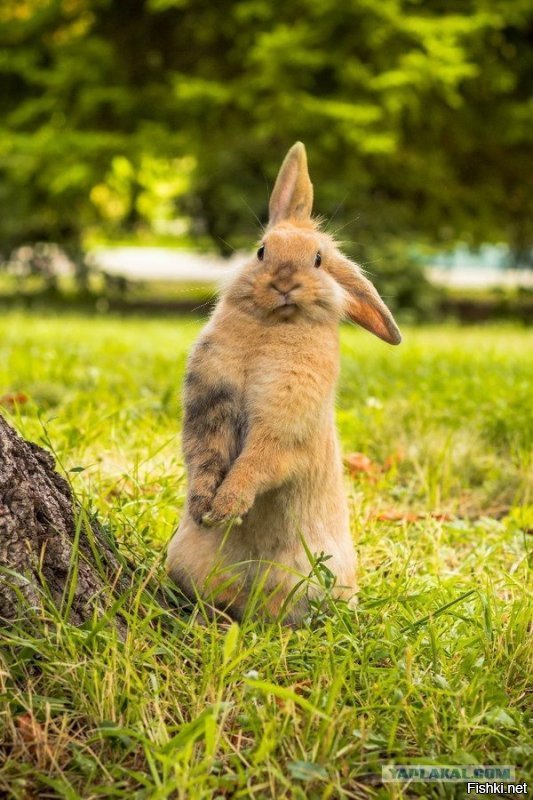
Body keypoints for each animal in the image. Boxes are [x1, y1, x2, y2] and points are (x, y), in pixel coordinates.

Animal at [166, 141, 400, 620]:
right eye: (261, 251)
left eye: (318, 260)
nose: (284, 283)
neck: (273, 328)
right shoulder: (209, 407)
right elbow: (203, 455)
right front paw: (203, 509)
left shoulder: (283, 425)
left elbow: (258, 462)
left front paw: (226, 508)